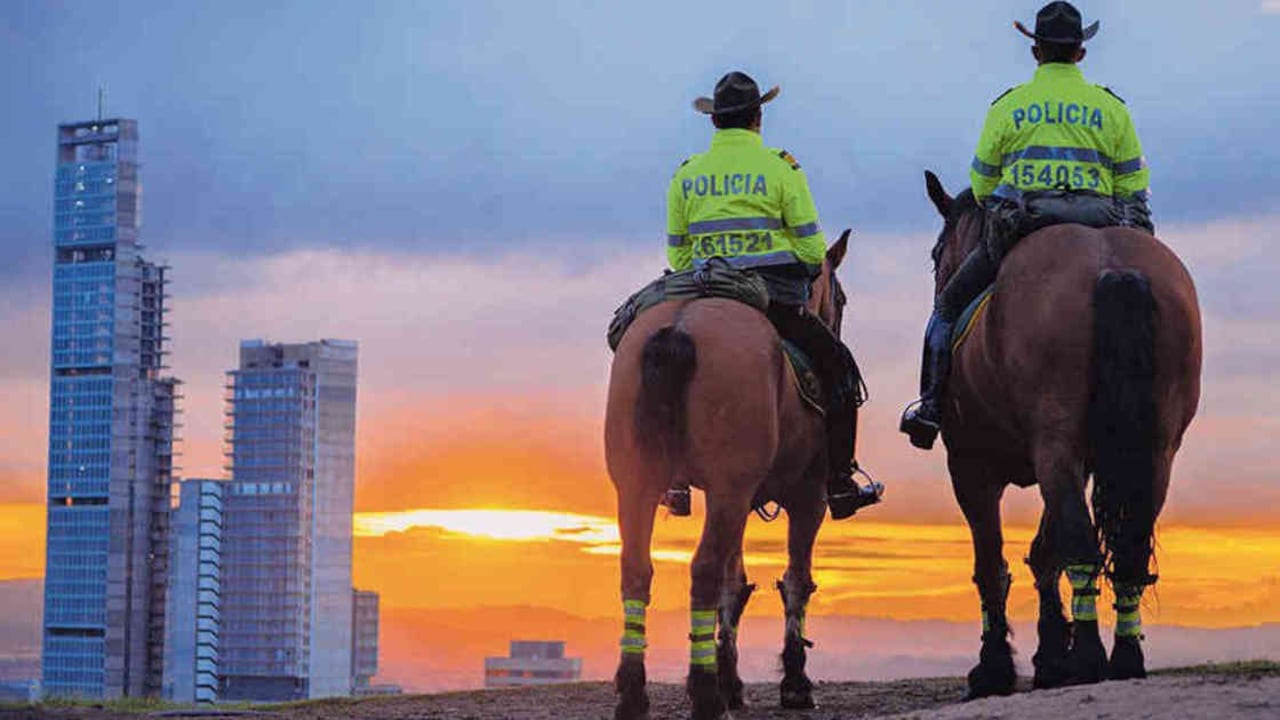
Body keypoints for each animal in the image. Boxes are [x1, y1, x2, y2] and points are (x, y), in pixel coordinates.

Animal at [605, 233, 852, 720]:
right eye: (842, 299)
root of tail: (680, 325)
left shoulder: (741, 498)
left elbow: (734, 584)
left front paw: (732, 681)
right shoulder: (807, 497)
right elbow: (796, 581)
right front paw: (794, 683)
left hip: (639, 483)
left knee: (637, 569)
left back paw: (635, 695)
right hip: (729, 489)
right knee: (703, 570)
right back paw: (704, 694)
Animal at [920, 171, 1202, 698]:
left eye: (935, 255)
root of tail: (1112, 266)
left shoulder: (970, 465)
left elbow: (992, 565)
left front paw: (995, 667)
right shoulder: (1075, 458)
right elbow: (1044, 552)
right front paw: (1051, 657)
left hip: (1054, 443)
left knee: (1082, 544)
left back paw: (1090, 658)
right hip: (1154, 451)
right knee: (1128, 546)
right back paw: (1124, 657)